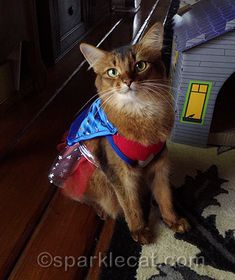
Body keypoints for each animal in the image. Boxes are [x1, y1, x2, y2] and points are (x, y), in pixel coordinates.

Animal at [61, 23, 190, 244]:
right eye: (113, 72)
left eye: (140, 65)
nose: (127, 81)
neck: (141, 114)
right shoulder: (120, 173)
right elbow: (131, 205)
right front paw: (139, 230)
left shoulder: (160, 164)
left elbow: (165, 195)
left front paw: (172, 220)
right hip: (95, 178)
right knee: (89, 200)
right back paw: (101, 211)